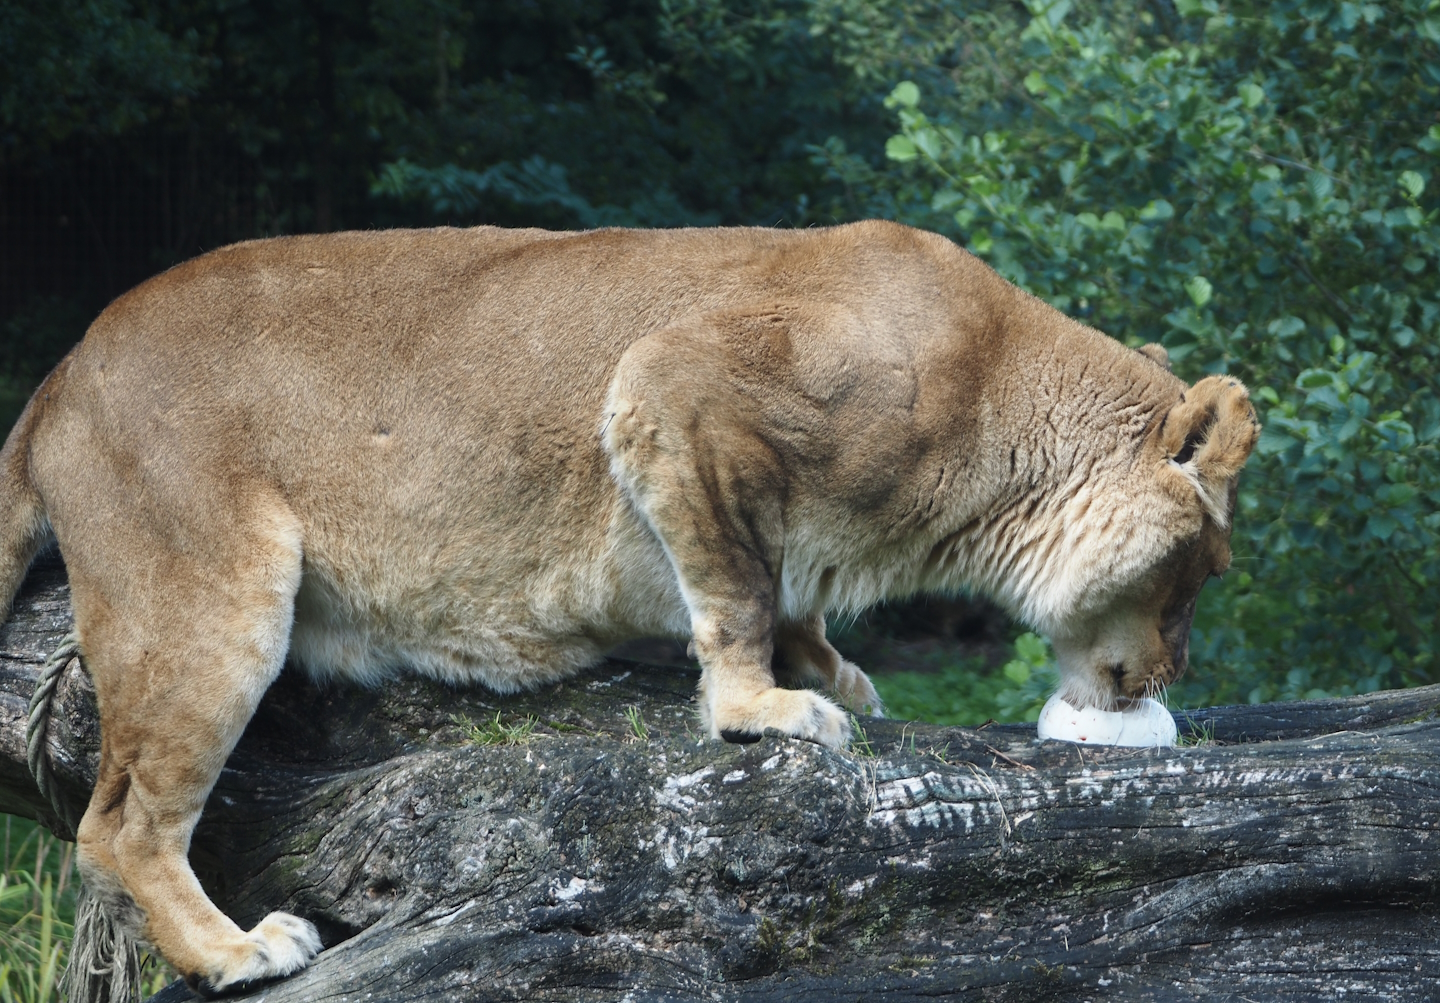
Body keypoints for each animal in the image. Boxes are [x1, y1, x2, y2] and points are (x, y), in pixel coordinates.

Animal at [0, 220, 1257, 993]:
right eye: (1203, 573)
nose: (1166, 678)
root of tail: (59, 373)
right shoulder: (674, 383)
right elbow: (739, 587)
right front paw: (764, 709)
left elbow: (786, 589)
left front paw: (828, 668)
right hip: (209, 604)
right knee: (120, 825)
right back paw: (237, 952)